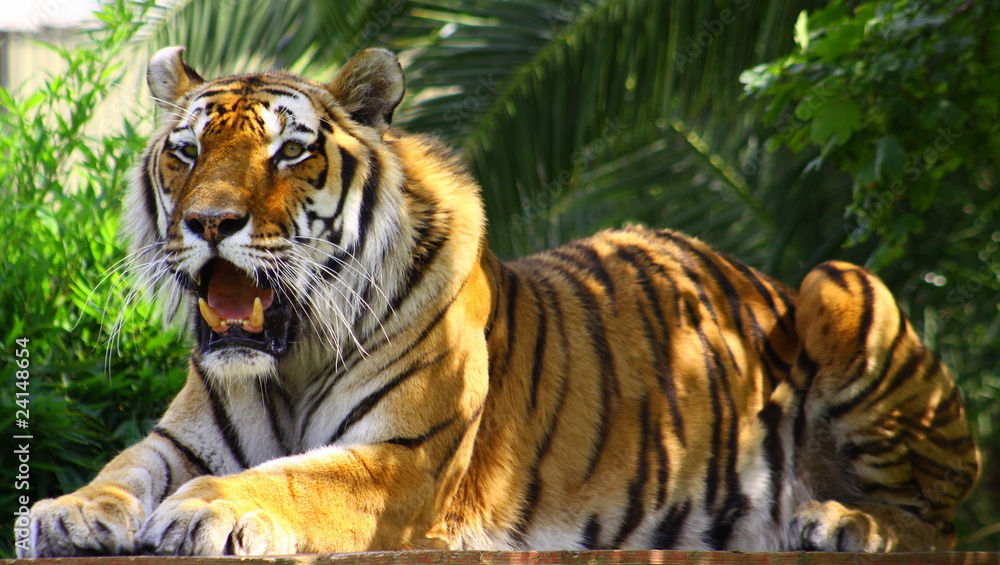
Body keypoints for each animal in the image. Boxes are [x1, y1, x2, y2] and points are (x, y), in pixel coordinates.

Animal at [18, 46, 980, 557]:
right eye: (184, 152)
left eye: (289, 152)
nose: (210, 222)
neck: (289, 358)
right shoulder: (179, 438)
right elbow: (124, 467)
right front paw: (64, 511)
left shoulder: (401, 460)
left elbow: (291, 477)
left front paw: (206, 508)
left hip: (835, 287)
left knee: (937, 517)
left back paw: (837, 518)